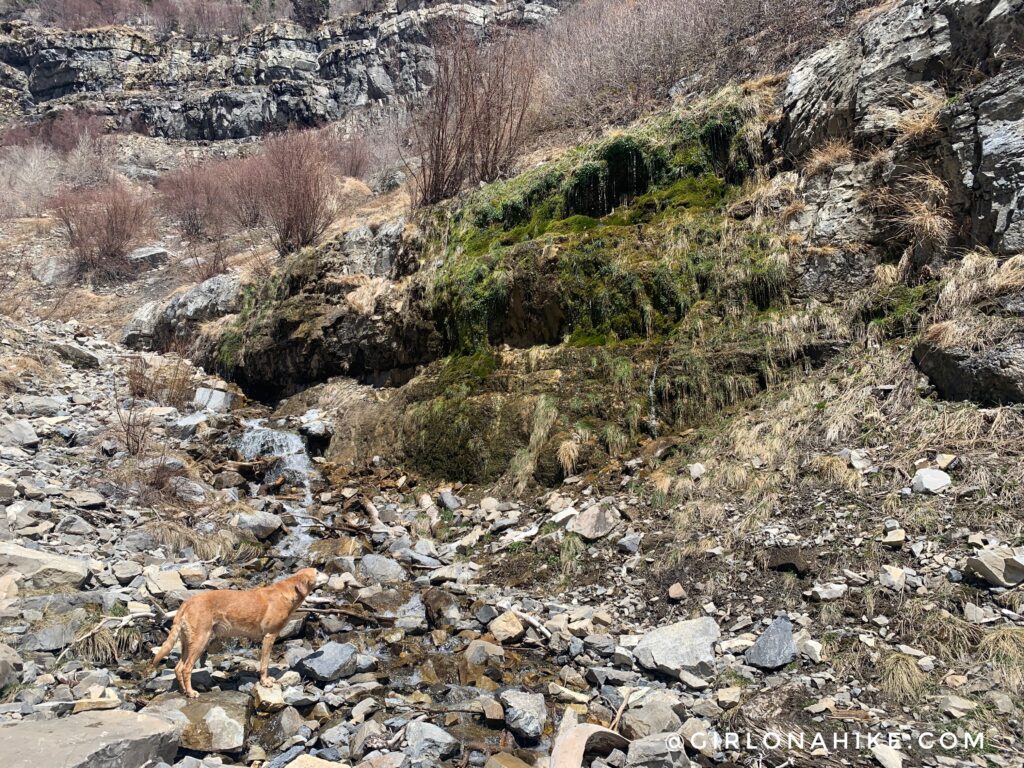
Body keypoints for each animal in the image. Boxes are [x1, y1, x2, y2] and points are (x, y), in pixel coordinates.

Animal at [150, 565, 323, 696]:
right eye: (317, 572)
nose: (326, 575)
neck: (288, 591)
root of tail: (187, 603)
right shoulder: (269, 636)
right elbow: (265, 664)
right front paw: (265, 682)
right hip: (200, 641)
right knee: (186, 669)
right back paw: (191, 692)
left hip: (188, 642)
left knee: (178, 668)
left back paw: (184, 691)